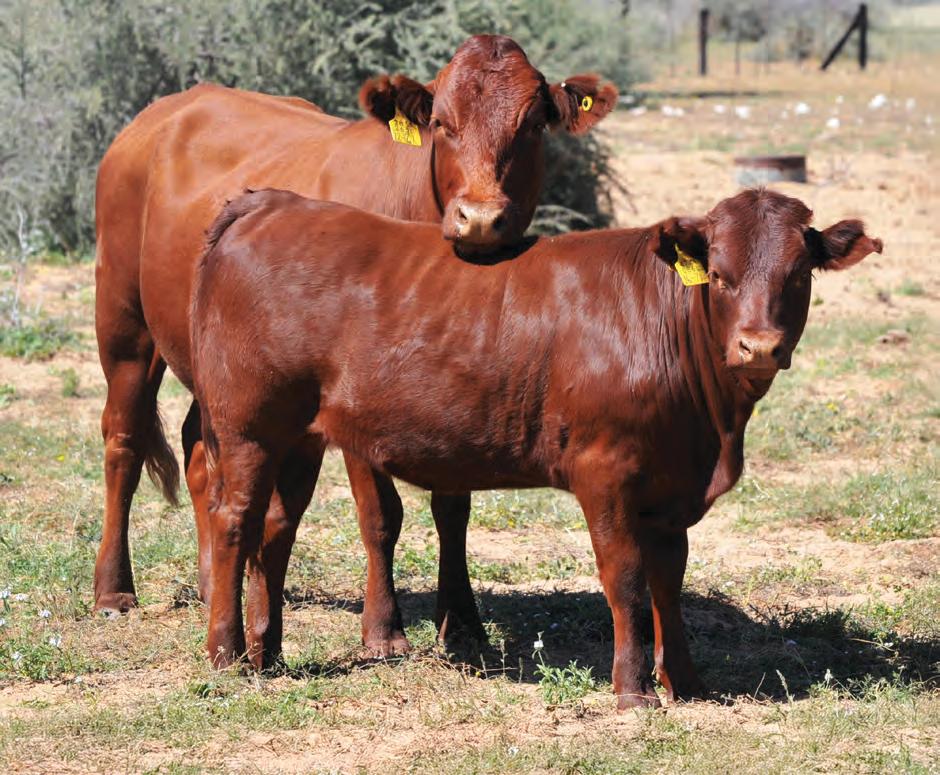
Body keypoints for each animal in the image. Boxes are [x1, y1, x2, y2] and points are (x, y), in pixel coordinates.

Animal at [93, 34, 618, 661]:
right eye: (441, 123)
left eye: (534, 124)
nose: (481, 219)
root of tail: (169, 107)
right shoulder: (359, 405)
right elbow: (381, 514)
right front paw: (383, 629)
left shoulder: (462, 389)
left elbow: (453, 509)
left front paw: (464, 626)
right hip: (124, 322)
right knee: (123, 441)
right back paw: (113, 591)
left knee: (201, 448)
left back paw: (209, 585)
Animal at [190, 187, 881, 707]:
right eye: (719, 275)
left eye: (798, 274)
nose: (758, 346)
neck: (710, 431)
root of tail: (273, 203)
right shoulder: (605, 473)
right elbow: (626, 580)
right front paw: (633, 691)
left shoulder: (670, 490)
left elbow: (668, 581)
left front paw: (684, 682)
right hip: (247, 427)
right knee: (233, 522)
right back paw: (227, 657)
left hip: (299, 438)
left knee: (275, 531)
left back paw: (269, 652)